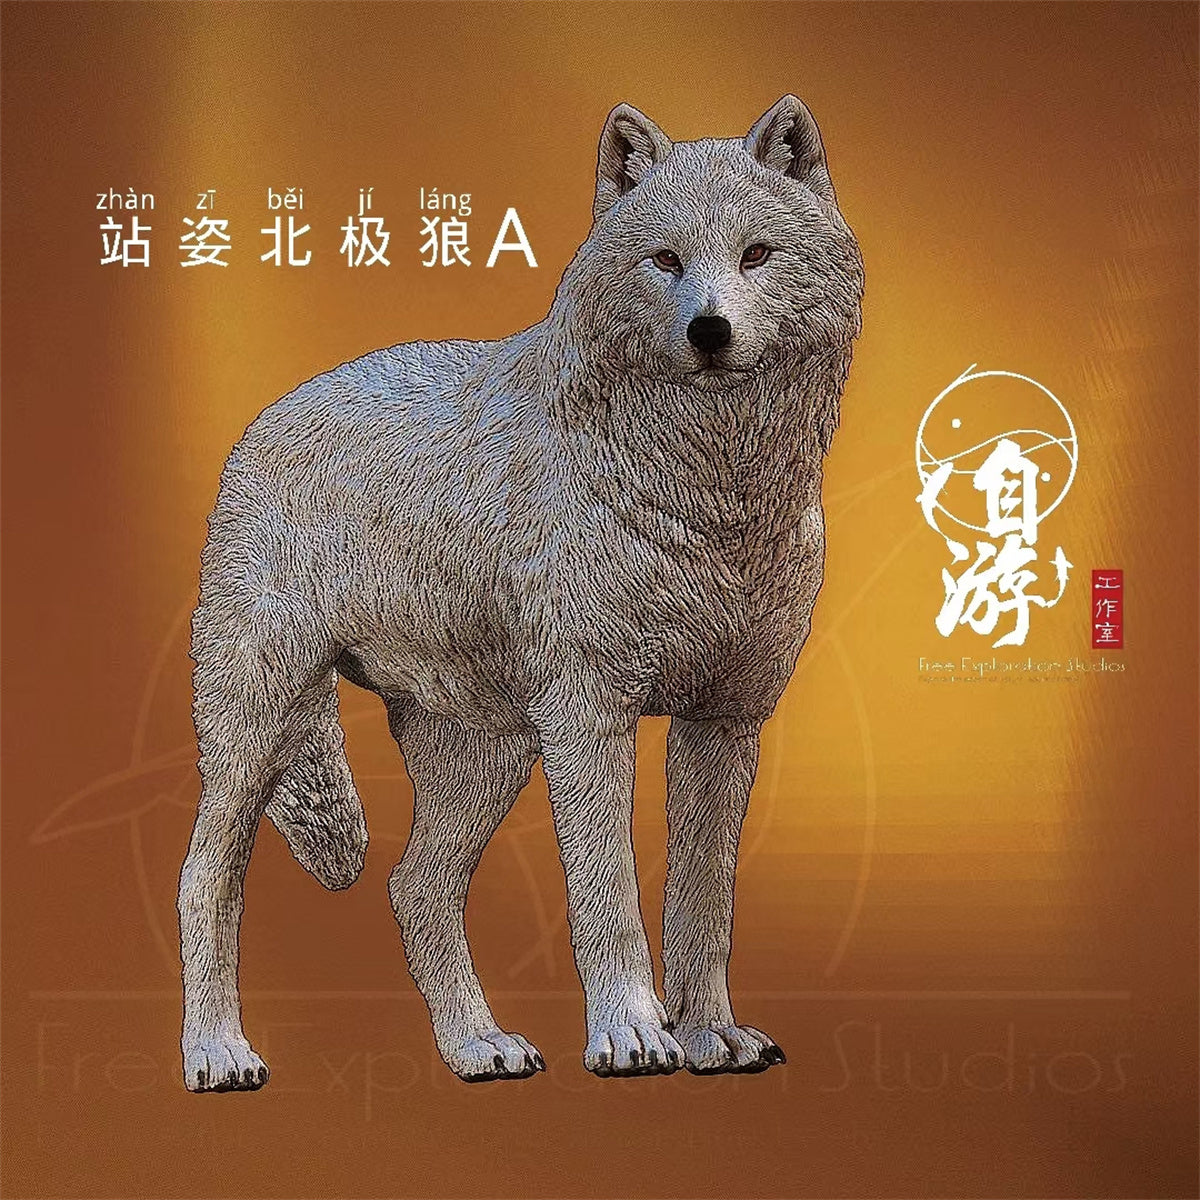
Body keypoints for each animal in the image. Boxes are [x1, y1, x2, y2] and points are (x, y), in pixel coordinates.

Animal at [178, 94, 864, 1091]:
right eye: (666, 260)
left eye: (756, 256)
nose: (708, 330)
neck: (703, 503)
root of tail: (260, 424)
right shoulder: (589, 716)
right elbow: (609, 896)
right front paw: (634, 1035)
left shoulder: (725, 724)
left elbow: (703, 904)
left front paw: (710, 1035)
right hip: (259, 729)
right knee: (206, 876)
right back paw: (218, 1052)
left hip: (488, 757)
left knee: (413, 886)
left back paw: (477, 1045)